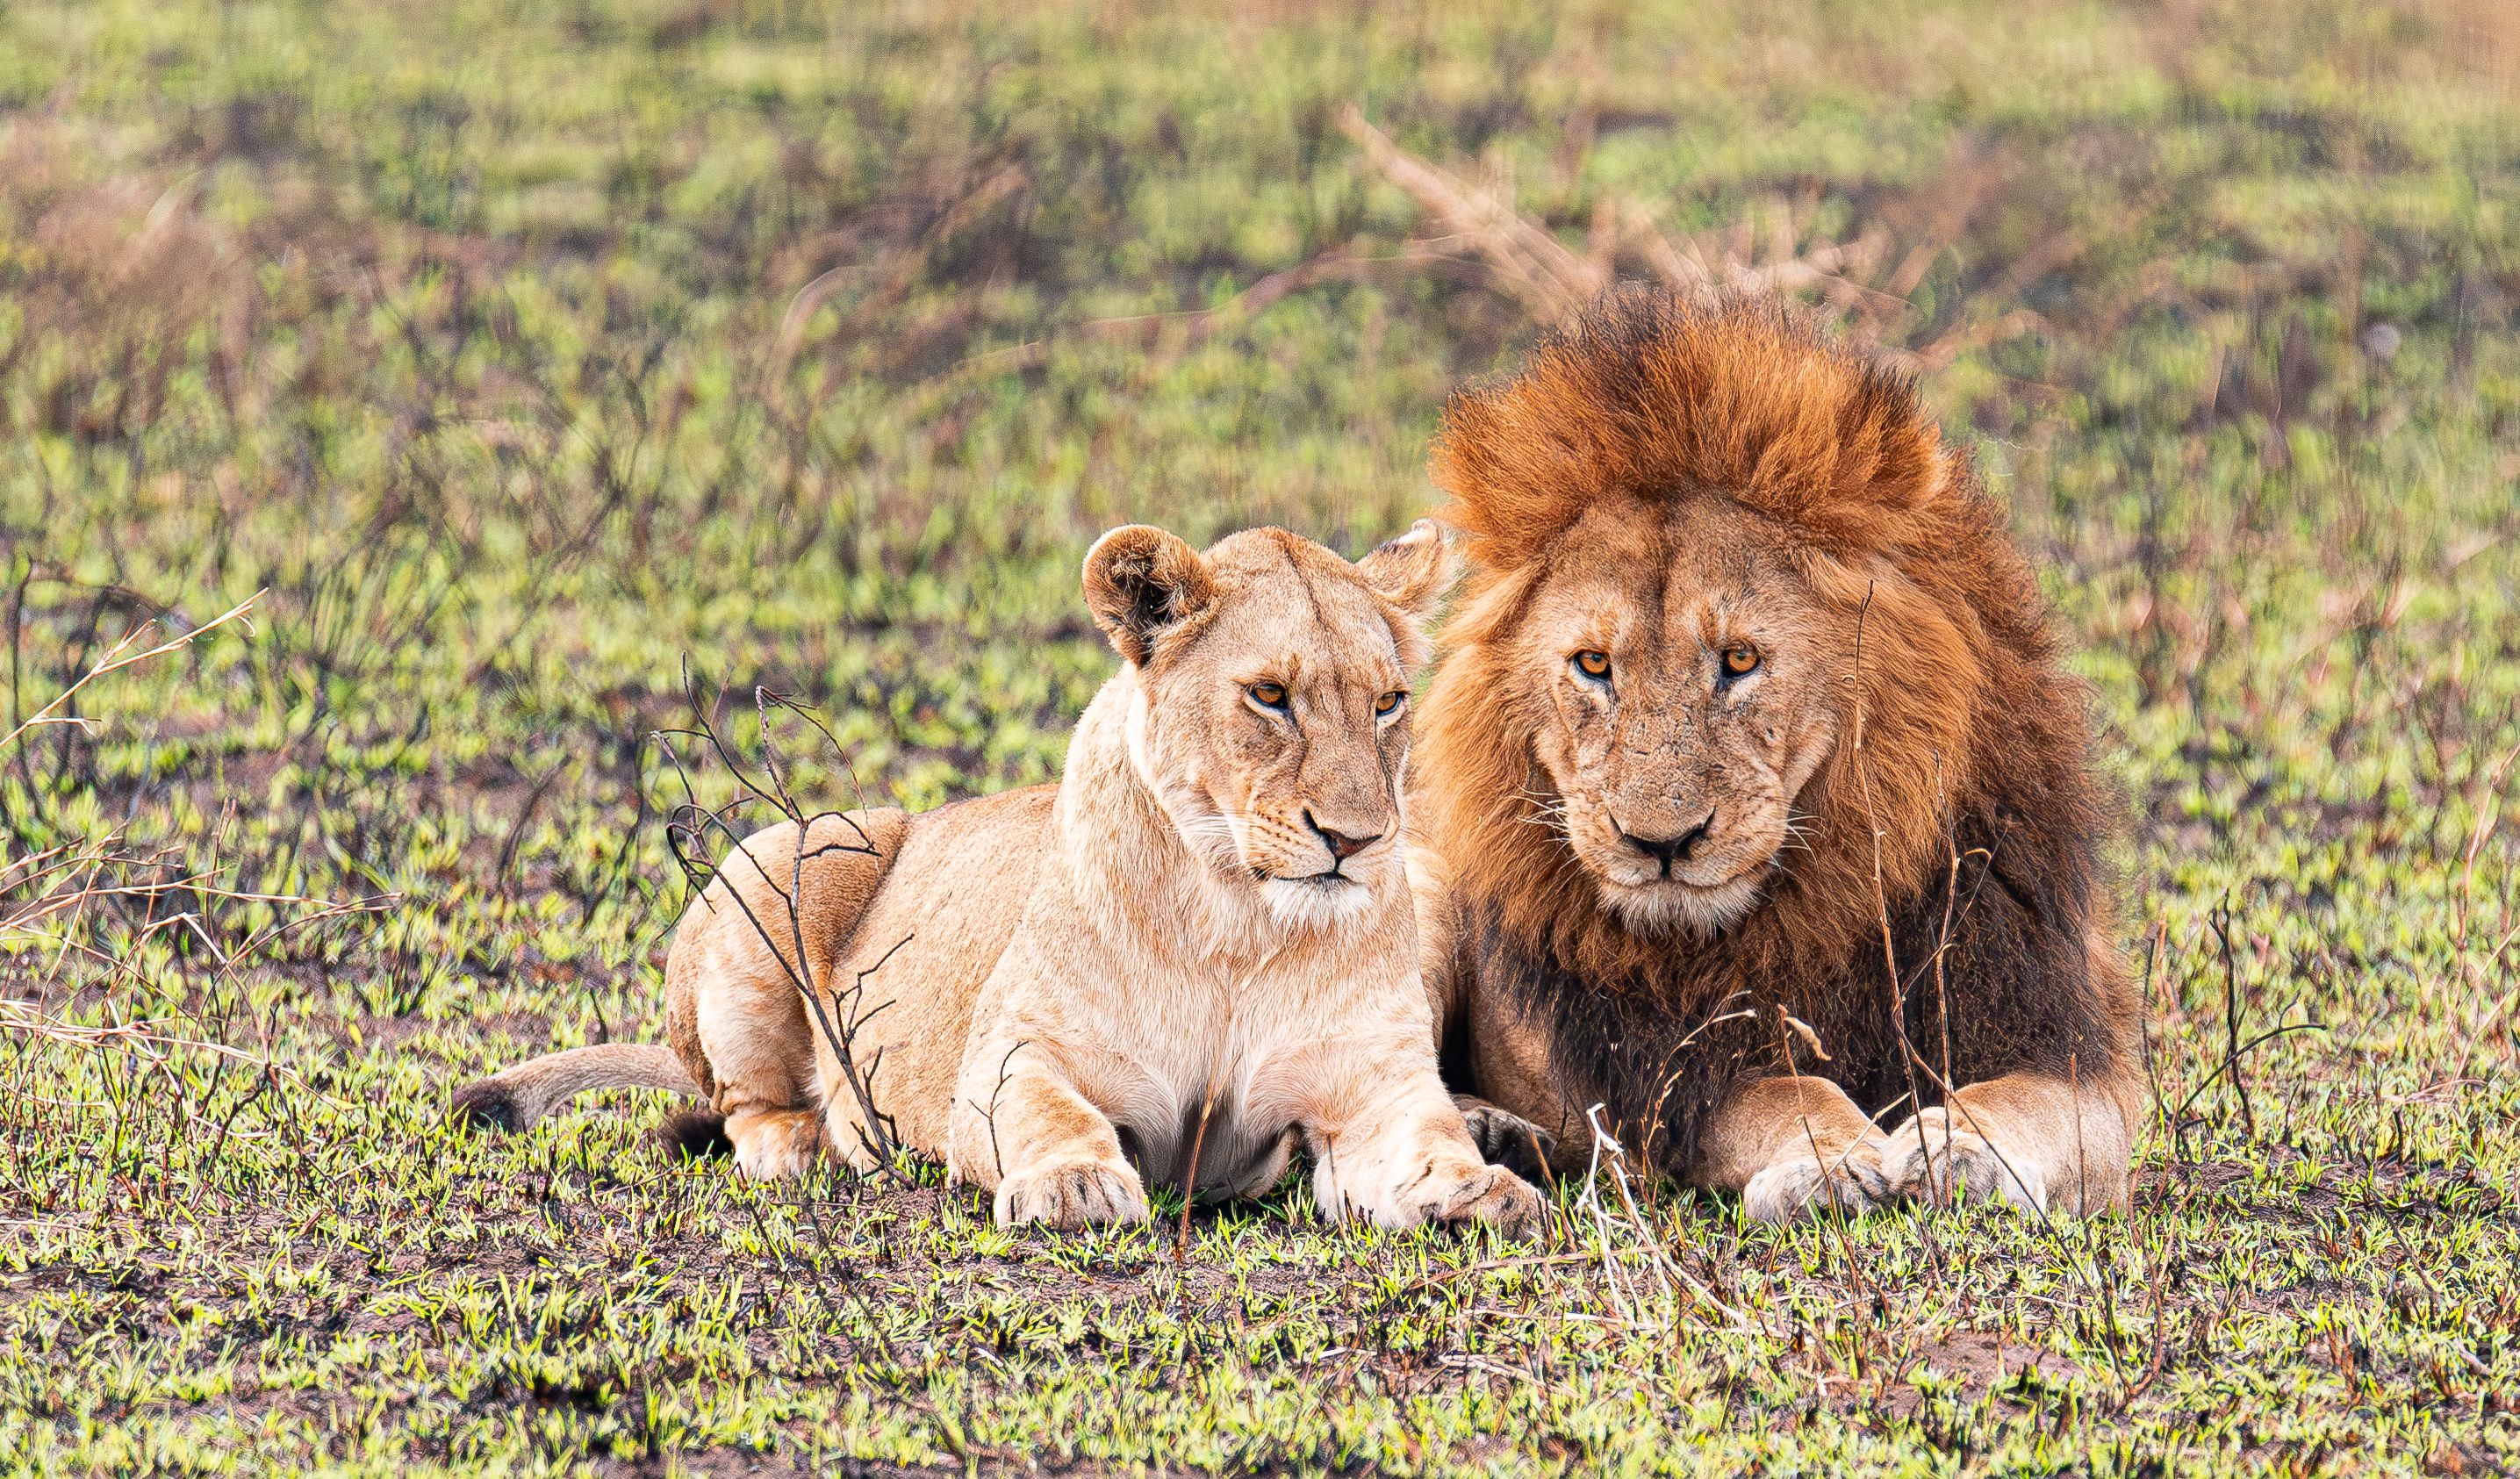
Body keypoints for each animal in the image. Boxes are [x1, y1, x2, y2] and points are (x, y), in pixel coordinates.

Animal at [452, 521, 1542, 1235]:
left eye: (1389, 701)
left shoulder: (1372, 1084)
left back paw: (1504, 1131)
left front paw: (1477, 1184)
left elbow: (1422, 1137)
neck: (1239, 917)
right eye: (1270, 696)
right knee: (741, 1102)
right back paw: (811, 1142)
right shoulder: (1011, 1058)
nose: (1355, 839)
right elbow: (1051, 1113)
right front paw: (1074, 1184)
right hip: (789, 848)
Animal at [1412, 290, 2141, 1222]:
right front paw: (1830, 1163)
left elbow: (2029, 1102)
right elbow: (1787, 1092)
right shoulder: (1672, 1077)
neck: (1820, 897)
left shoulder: (2065, 1035)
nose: (1658, 843)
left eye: (1740, 659)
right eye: (1594, 664)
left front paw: (1960, 1148)